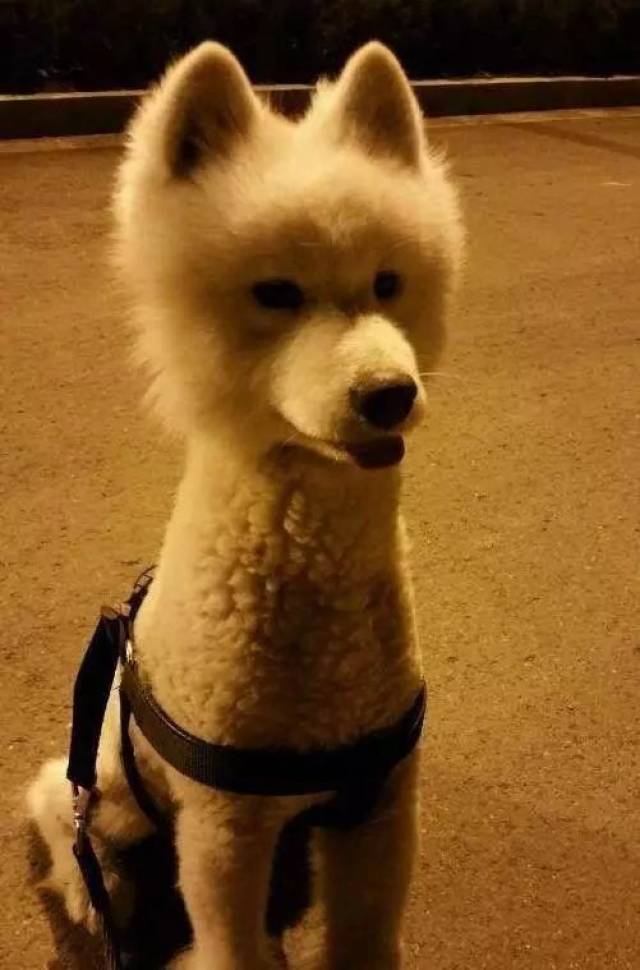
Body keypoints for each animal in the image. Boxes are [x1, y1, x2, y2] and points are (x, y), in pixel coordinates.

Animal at [28, 40, 463, 969]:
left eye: (388, 282)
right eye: (276, 293)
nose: (390, 394)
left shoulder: (379, 808)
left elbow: (366, 939)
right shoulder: (225, 830)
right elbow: (233, 945)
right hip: (113, 787)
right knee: (60, 808)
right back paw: (92, 892)